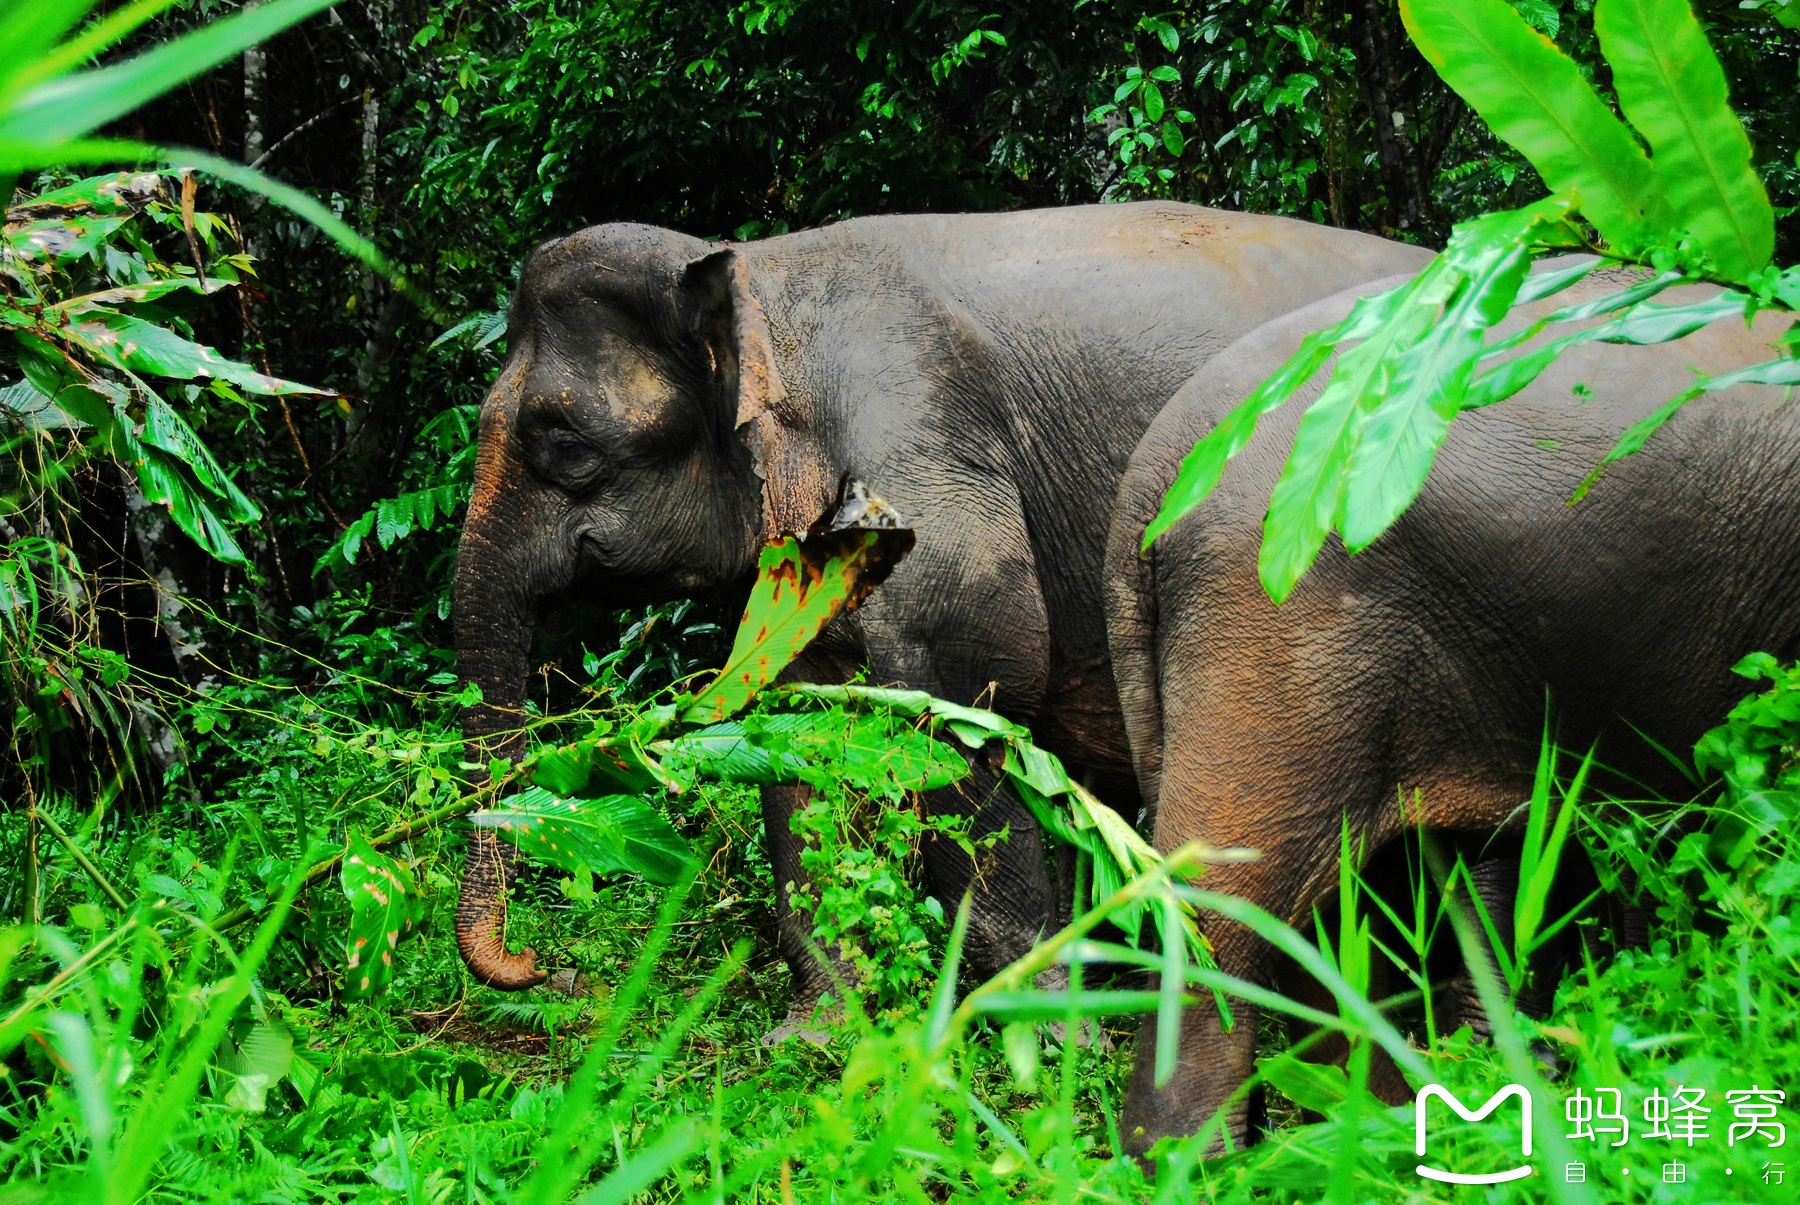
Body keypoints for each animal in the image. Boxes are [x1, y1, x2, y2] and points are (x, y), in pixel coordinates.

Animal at [453, 197, 1432, 1023]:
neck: (763, 274)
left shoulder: (929, 474)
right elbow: (800, 733)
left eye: (562, 441)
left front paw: (1037, 1039)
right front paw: (820, 1034)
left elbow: (965, 714)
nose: (542, 969)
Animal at [1101, 268, 1792, 1152]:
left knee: (1343, 912)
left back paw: (1386, 1128)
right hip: (1277, 610)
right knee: (1227, 908)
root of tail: (1157, 467)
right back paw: (1205, 1162)